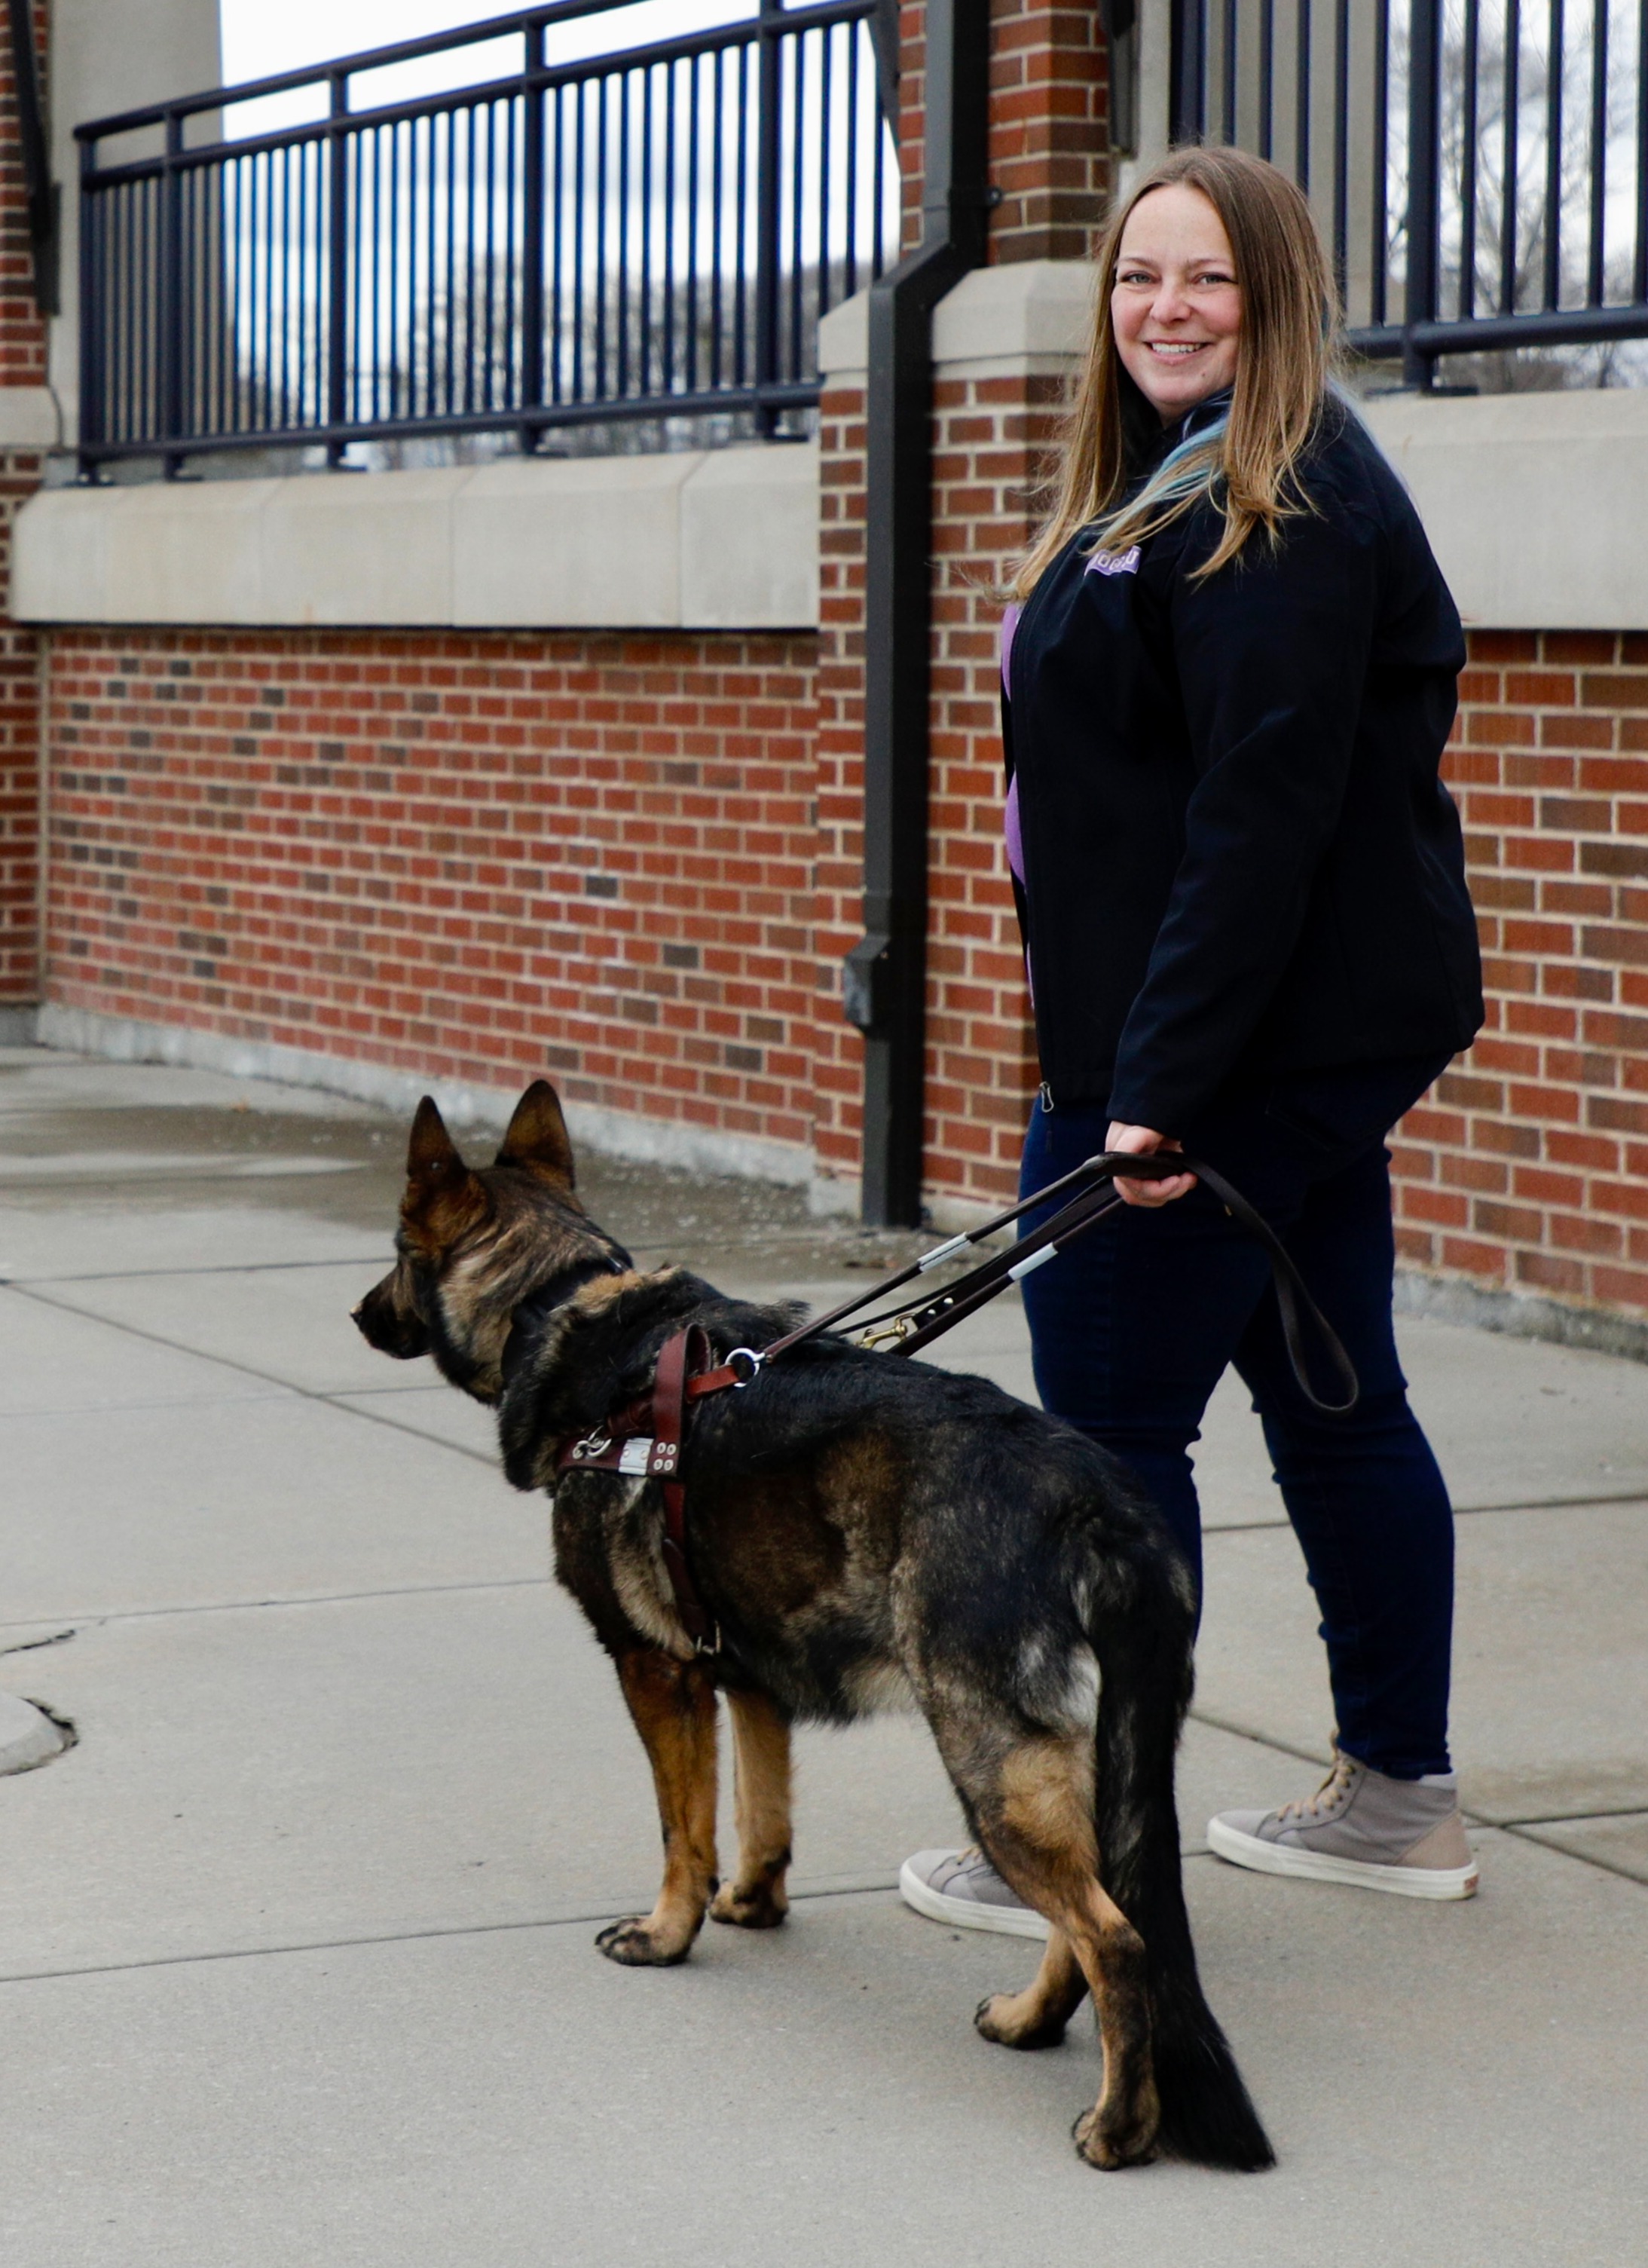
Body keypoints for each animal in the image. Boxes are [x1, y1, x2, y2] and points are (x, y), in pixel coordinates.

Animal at [349, 1079, 1278, 2177]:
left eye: (396, 1247)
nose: (358, 1313)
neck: (563, 1307)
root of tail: (1096, 1504)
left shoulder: (653, 1672)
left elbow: (682, 1829)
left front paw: (668, 1933)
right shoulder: (747, 1677)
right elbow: (762, 1808)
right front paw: (754, 1903)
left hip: (989, 1765)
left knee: (1117, 1938)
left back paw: (1119, 2126)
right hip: (1072, 1766)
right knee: (1098, 1916)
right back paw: (1029, 2021)